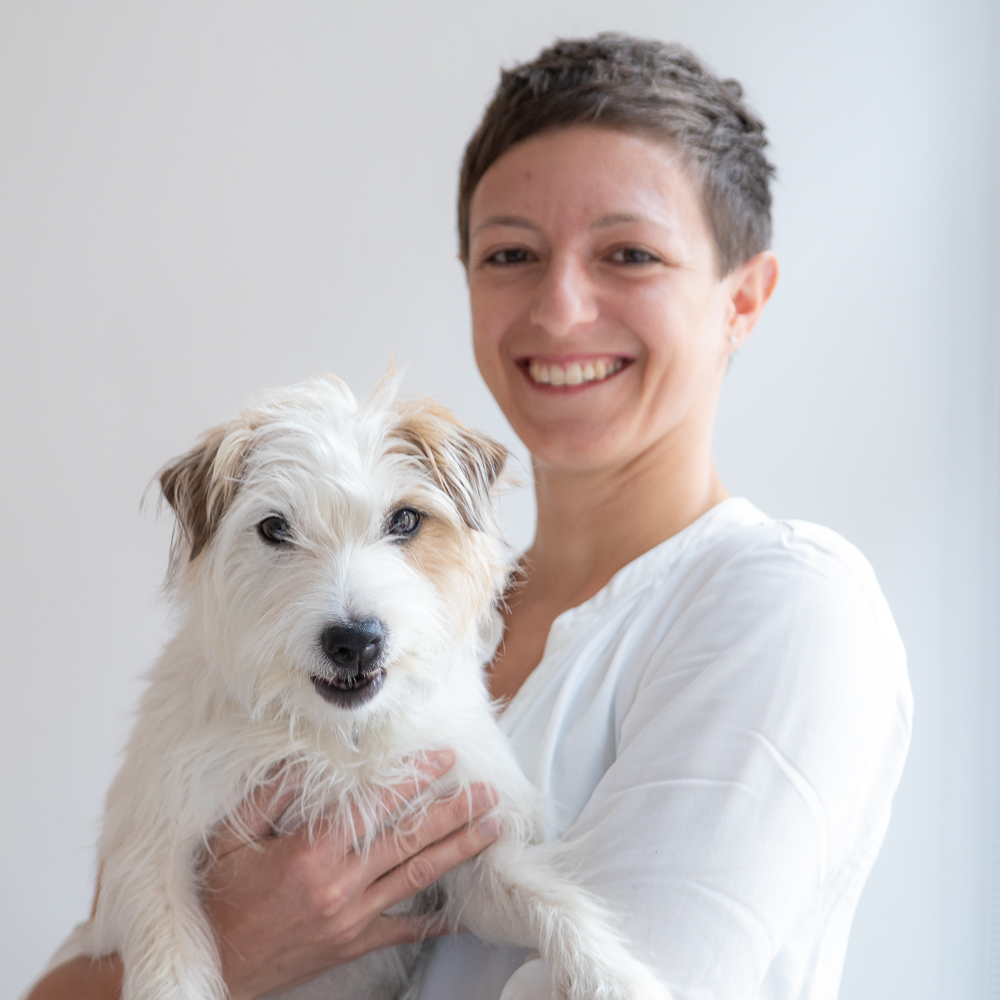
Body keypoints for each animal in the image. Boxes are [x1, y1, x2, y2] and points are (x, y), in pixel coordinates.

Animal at [48, 376, 672, 1000]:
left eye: (405, 520)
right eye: (274, 528)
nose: (354, 641)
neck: (342, 740)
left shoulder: (463, 850)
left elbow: (551, 899)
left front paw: (613, 977)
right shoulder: (151, 855)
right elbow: (169, 966)